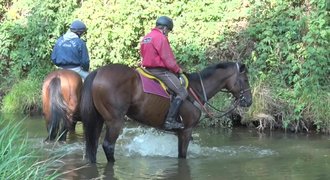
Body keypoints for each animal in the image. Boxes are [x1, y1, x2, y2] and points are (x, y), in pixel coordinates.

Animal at [80, 62, 253, 163]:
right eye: (245, 80)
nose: (249, 101)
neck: (195, 89)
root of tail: (98, 72)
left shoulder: (180, 133)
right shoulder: (186, 131)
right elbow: (182, 155)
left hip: (99, 120)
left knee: (93, 145)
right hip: (115, 121)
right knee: (108, 146)